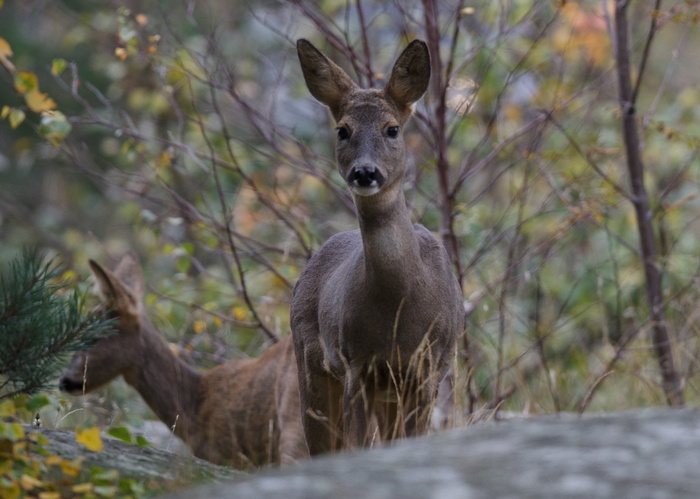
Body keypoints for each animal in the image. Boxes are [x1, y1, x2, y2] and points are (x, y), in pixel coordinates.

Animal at [292, 37, 468, 456]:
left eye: (392, 129)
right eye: (342, 130)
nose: (365, 172)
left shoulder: (427, 368)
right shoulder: (356, 363)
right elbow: (356, 445)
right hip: (310, 360)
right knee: (323, 443)